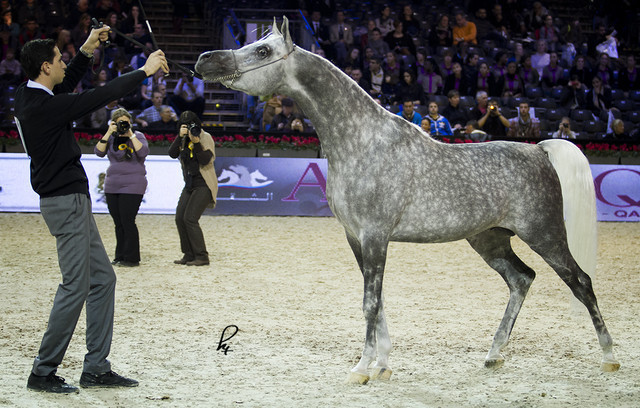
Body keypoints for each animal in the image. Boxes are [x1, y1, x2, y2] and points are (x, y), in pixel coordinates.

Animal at [195, 17, 620, 384]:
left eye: (263, 50)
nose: (204, 61)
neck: (362, 143)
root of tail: (539, 150)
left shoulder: (375, 235)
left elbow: (370, 302)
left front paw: (362, 368)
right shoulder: (356, 237)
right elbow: (377, 300)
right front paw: (382, 365)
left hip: (545, 234)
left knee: (581, 282)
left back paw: (609, 357)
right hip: (490, 239)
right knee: (522, 279)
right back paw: (493, 355)